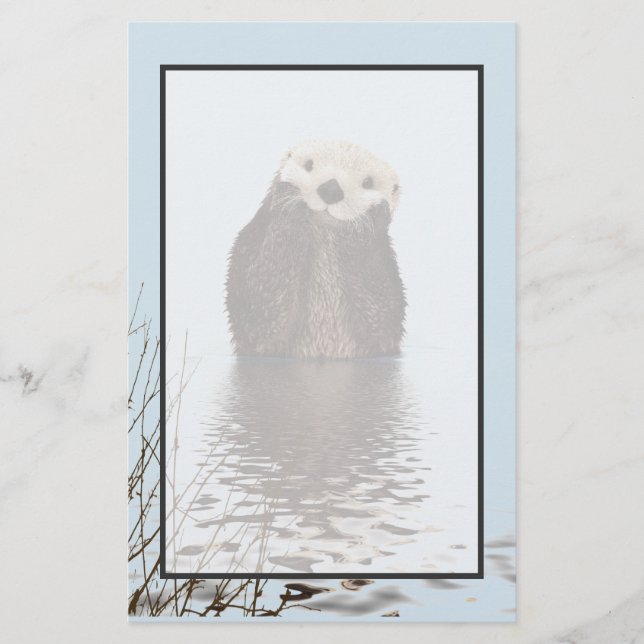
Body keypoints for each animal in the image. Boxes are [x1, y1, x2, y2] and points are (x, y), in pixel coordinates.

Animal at [225, 139, 406, 359]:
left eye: (368, 182)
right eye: (309, 165)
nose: (331, 189)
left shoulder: (387, 272)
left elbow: (383, 313)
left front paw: (365, 223)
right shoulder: (249, 244)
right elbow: (257, 308)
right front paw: (289, 200)